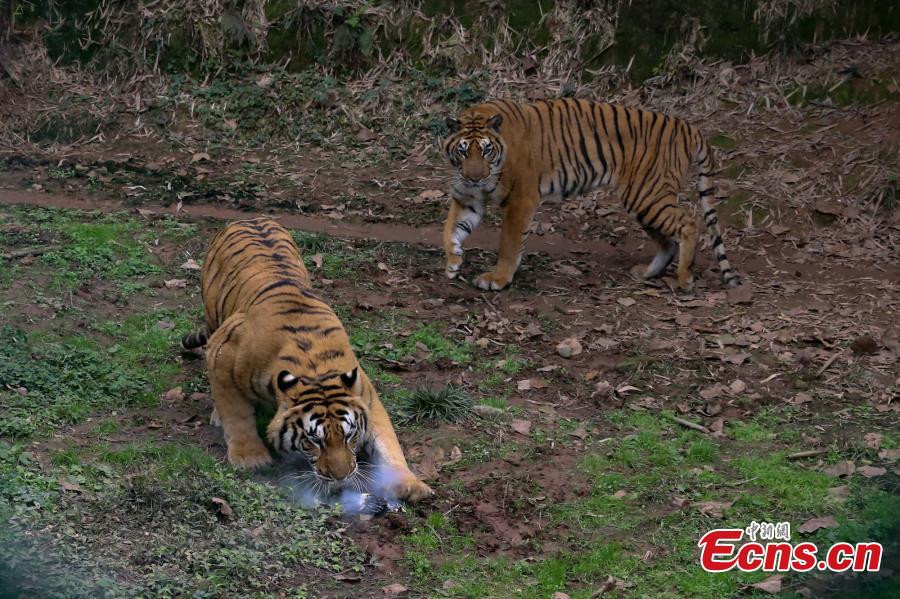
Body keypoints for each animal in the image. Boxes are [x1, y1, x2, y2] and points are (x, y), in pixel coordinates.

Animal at [181, 217, 433, 503]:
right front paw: (250, 457)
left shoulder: (366, 395)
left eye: (349, 436)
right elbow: (237, 413)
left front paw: (410, 484)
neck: (315, 368)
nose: (342, 476)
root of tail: (250, 218)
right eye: (314, 441)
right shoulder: (222, 354)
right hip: (214, 320)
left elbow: (387, 442)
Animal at [441, 98, 740, 292]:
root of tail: (687, 126)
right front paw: (453, 261)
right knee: (669, 240)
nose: (475, 177)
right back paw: (647, 273)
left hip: (647, 195)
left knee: (689, 224)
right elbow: (449, 229)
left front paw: (498, 278)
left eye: (486, 150)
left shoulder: (521, 199)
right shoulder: (467, 197)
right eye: (463, 151)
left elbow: (509, 242)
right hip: (644, 201)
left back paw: (685, 279)